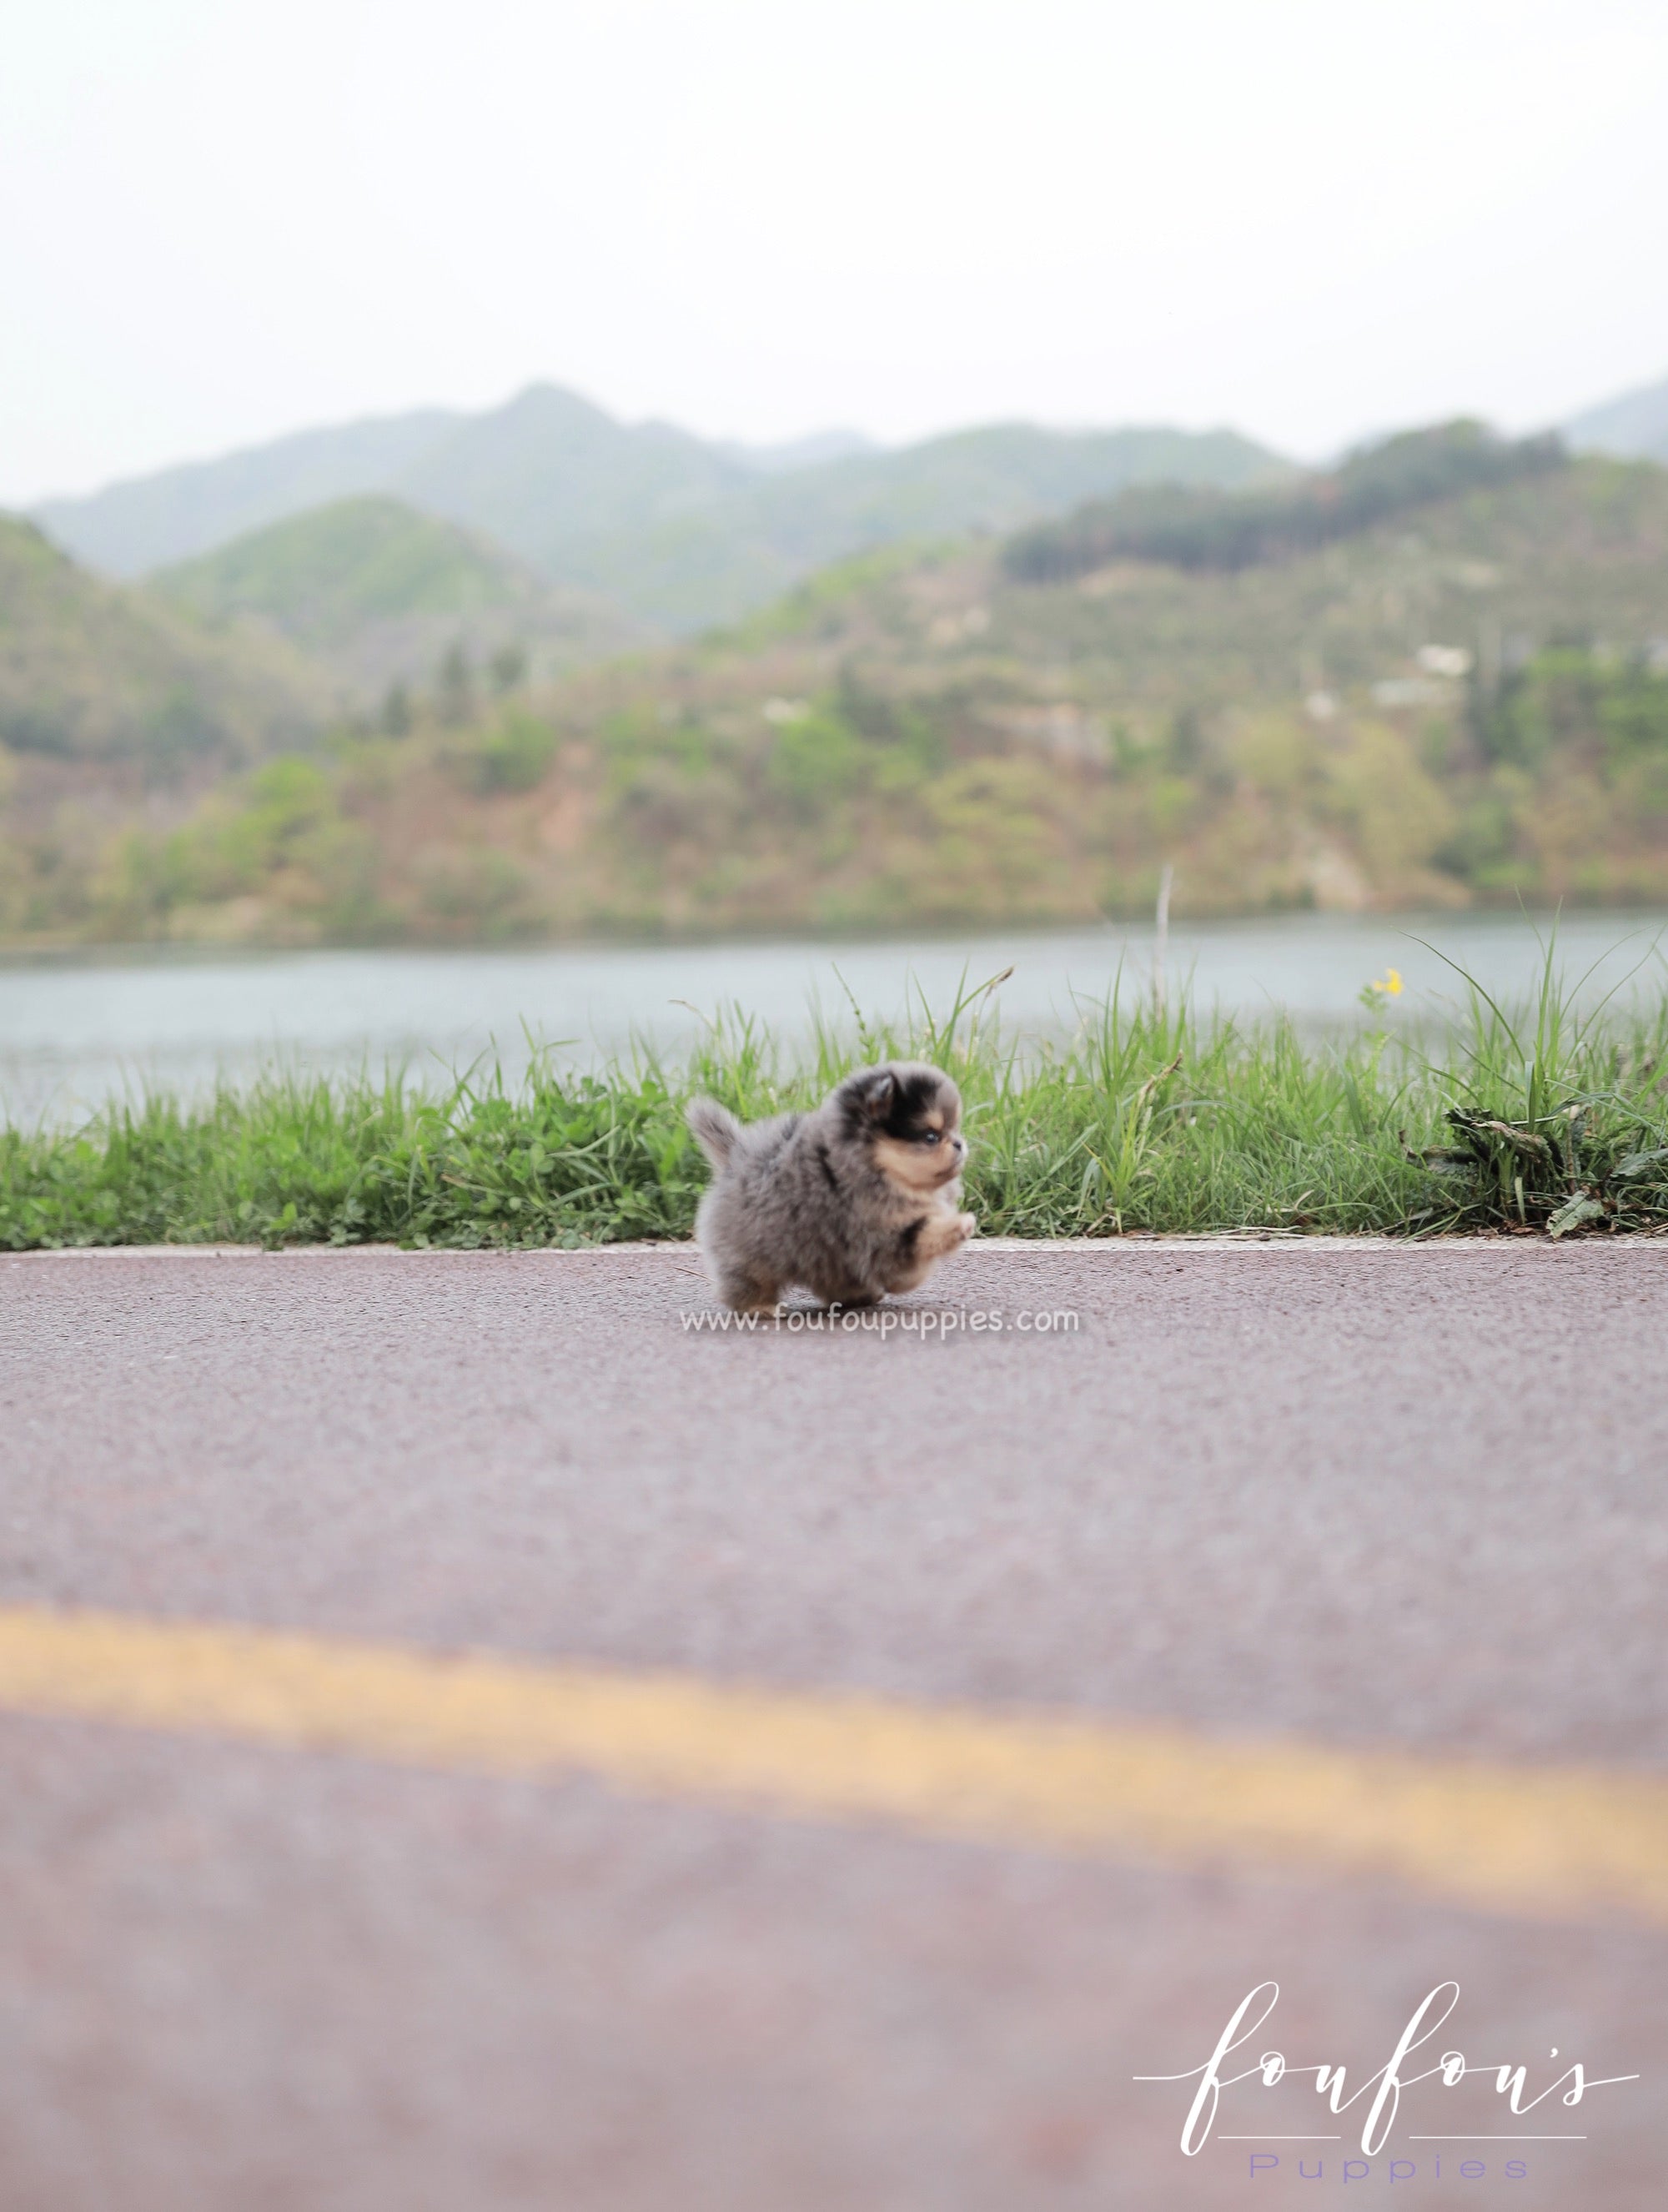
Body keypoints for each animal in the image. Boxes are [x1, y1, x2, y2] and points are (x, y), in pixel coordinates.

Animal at [686, 1057, 973, 1309]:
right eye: (931, 1137)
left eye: (954, 1129)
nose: (960, 1143)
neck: (876, 1168)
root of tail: (736, 1158)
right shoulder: (878, 1238)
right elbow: (919, 1245)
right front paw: (959, 1224)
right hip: (752, 1254)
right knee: (749, 1281)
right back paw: (761, 1308)